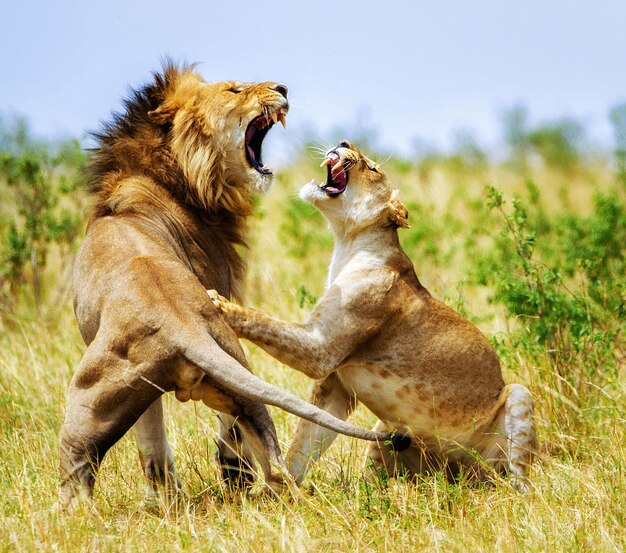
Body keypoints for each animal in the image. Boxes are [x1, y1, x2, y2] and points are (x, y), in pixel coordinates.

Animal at [59, 67, 390, 506]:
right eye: (235, 90)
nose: (282, 87)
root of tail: (179, 325)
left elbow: (154, 436)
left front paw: (165, 498)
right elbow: (153, 440)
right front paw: (162, 501)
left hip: (85, 406)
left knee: (77, 474)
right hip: (219, 372)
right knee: (274, 467)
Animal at [211, 140, 536, 490]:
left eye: (373, 168)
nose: (344, 142)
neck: (348, 243)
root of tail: (459, 477)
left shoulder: (321, 349)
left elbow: (264, 321)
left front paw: (219, 302)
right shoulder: (336, 385)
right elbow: (307, 441)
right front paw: (281, 490)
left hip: (518, 395)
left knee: (516, 475)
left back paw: (511, 489)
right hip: (388, 431)